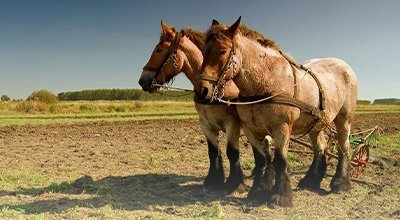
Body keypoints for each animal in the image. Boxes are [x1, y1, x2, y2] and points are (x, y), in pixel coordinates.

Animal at [138, 20, 268, 192]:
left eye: (158, 49)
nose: (142, 80)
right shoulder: (205, 123)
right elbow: (213, 152)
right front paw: (213, 180)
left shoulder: (232, 124)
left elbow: (232, 152)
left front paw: (234, 184)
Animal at [197, 17, 360, 206]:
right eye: (204, 51)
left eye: (223, 50)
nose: (202, 90)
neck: (266, 80)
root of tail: (344, 65)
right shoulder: (251, 129)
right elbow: (262, 160)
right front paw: (258, 190)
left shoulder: (281, 127)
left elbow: (280, 160)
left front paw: (280, 196)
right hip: (316, 125)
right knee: (320, 147)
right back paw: (311, 180)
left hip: (344, 119)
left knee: (343, 146)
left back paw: (341, 182)